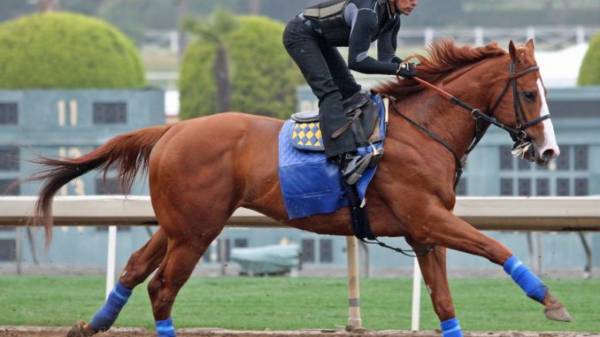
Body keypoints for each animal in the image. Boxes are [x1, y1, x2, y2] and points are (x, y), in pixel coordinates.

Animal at [35, 40, 568, 336]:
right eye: (528, 93)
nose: (548, 151)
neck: (424, 130)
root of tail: (170, 130)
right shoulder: (428, 217)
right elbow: (495, 246)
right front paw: (551, 301)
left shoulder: (424, 233)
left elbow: (444, 302)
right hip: (196, 231)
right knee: (163, 288)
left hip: (179, 223)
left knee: (134, 268)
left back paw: (93, 323)